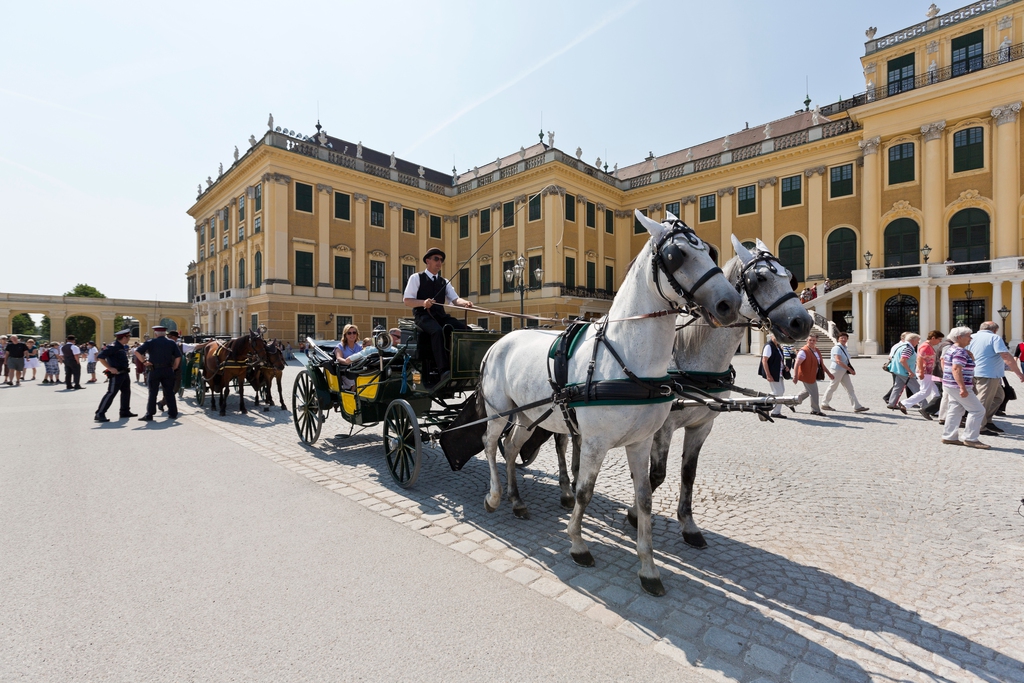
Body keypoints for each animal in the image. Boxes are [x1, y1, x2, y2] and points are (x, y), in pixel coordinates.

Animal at [475, 210, 741, 593]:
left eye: (710, 251)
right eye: (677, 255)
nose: (729, 302)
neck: (627, 356)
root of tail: (499, 341)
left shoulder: (641, 441)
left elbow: (644, 497)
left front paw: (648, 566)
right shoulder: (595, 442)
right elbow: (584, 491)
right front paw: (577, 543)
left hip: (529, 417)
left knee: (511, 448)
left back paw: (517, 501)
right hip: (500, 412)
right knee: (489, 443)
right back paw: (494, 496)